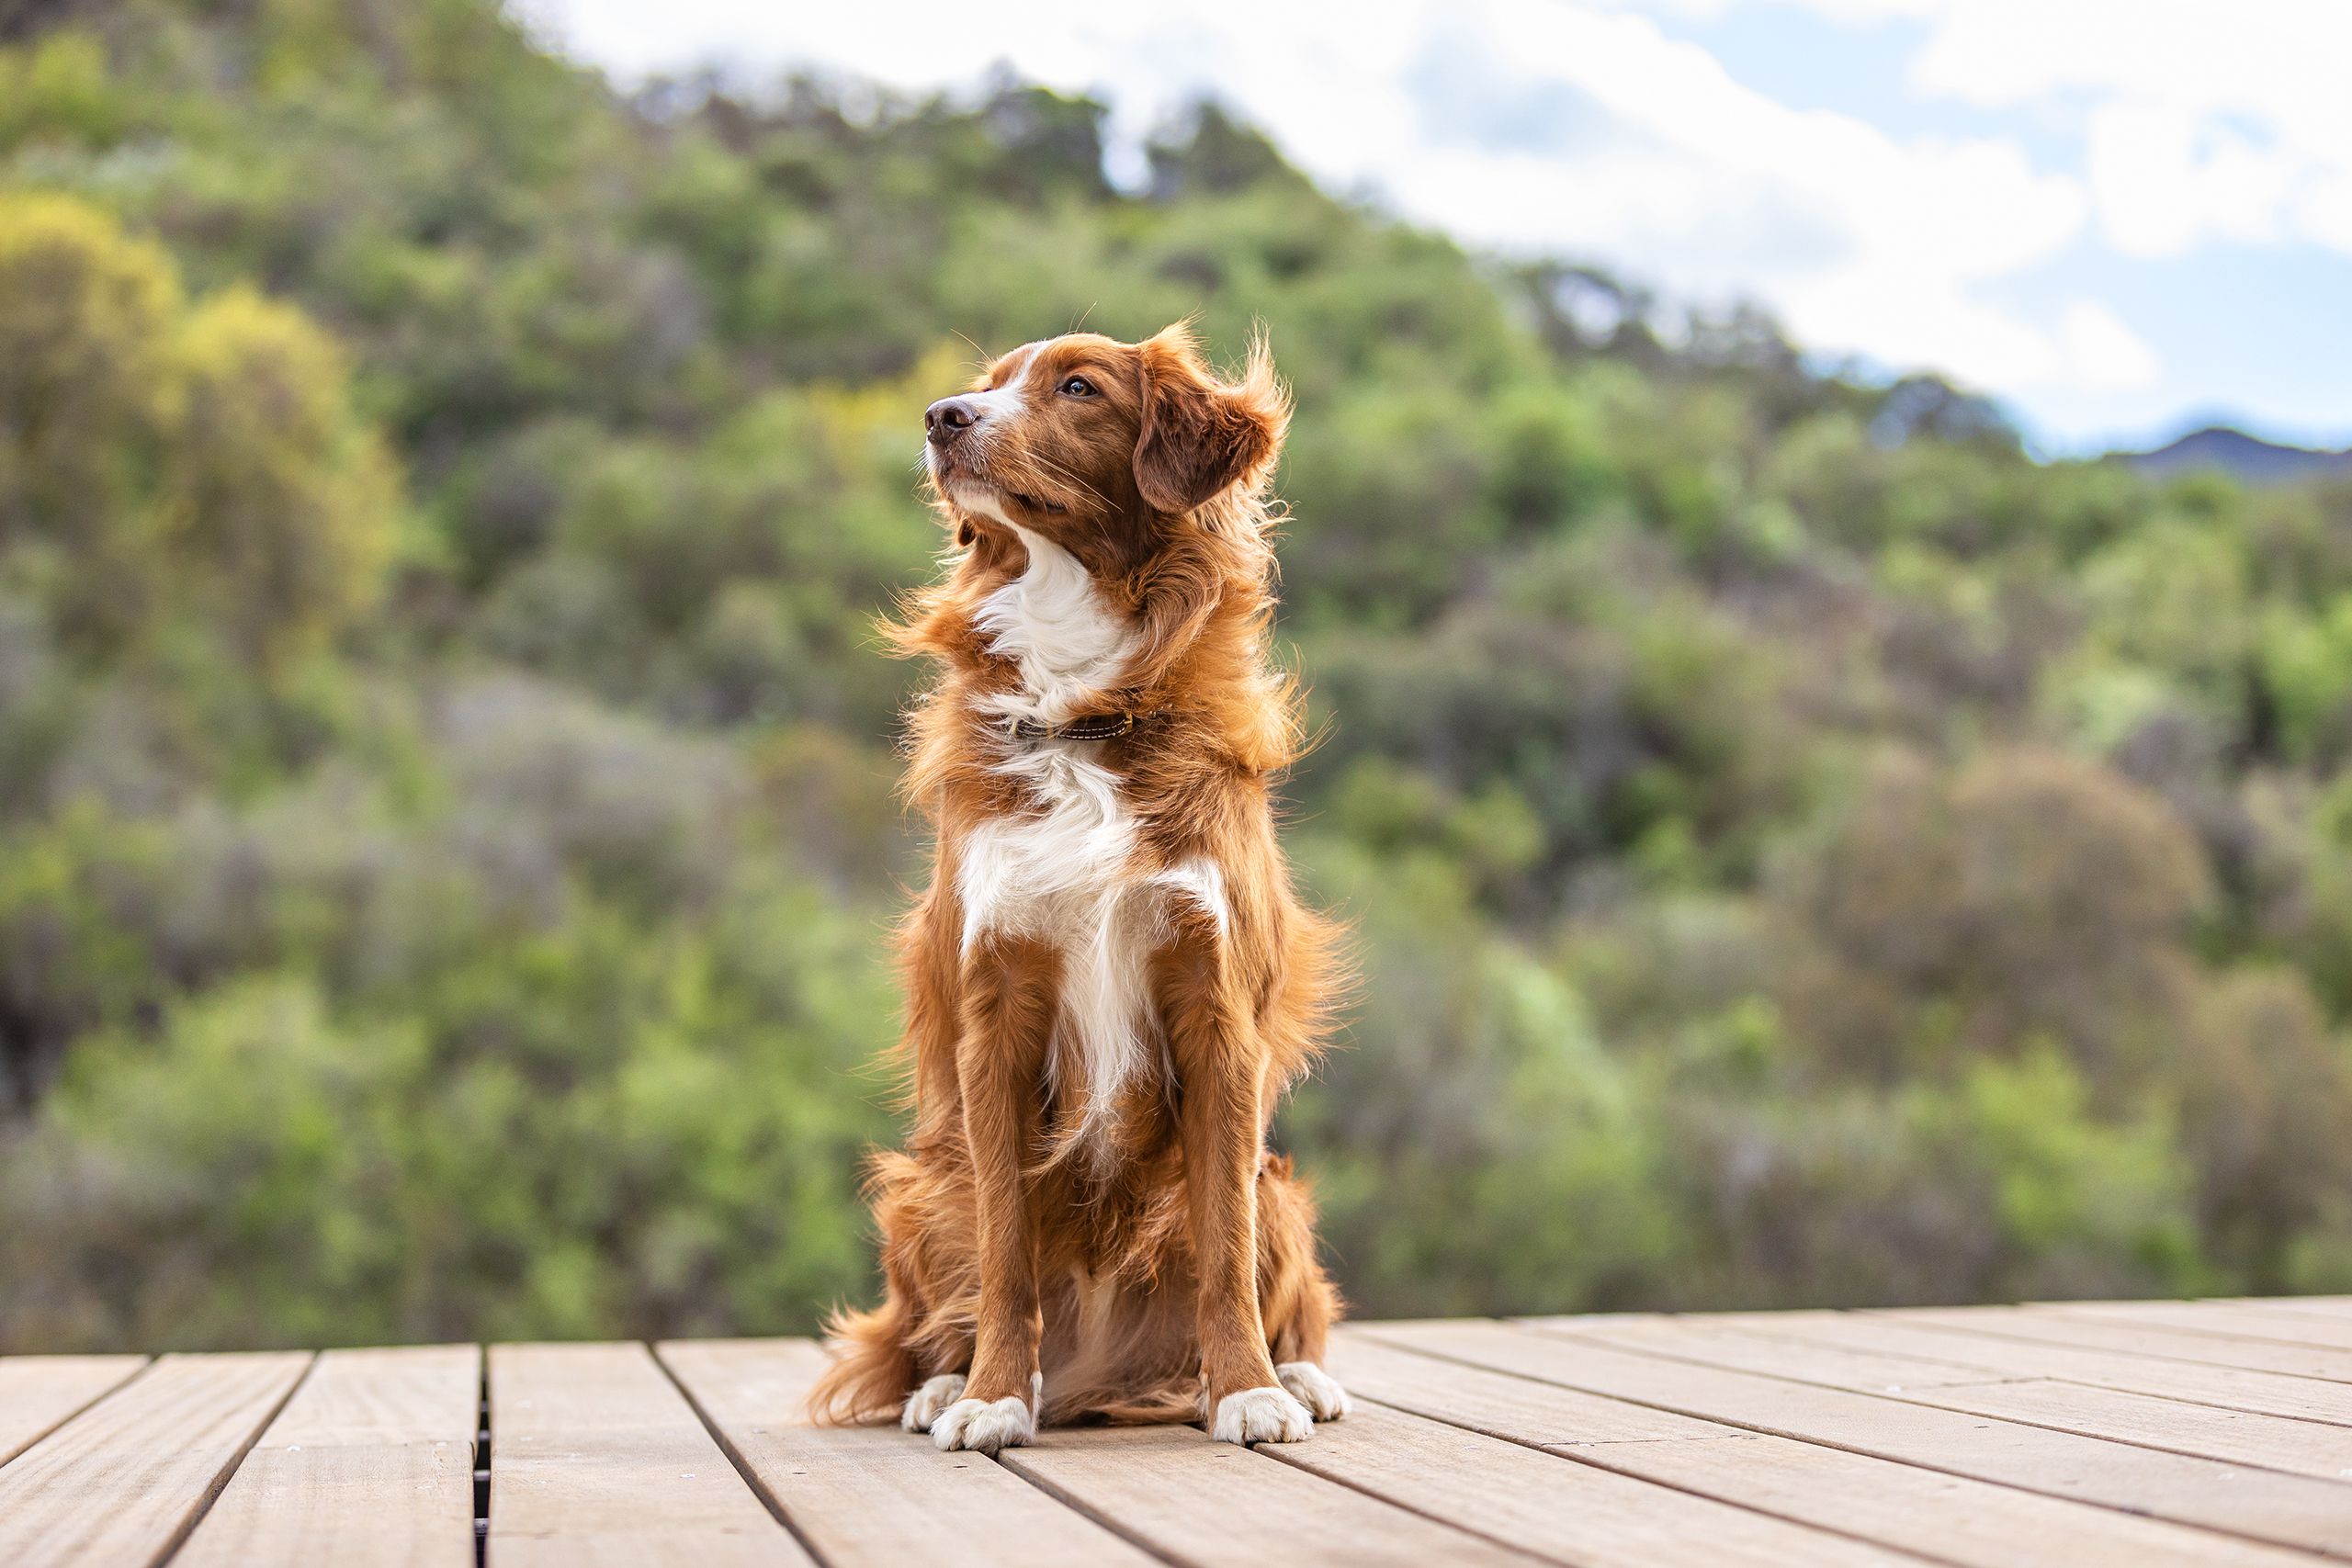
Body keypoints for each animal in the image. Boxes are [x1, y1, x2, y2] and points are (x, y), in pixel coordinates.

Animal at [808, 324, 1354, 1457]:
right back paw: (944, 1383)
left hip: (1281, 1188)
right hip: (924, 1187)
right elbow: (1005, 1255)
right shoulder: (997, 1014)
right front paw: (987, 1397)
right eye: (984, 387)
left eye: (1077, 387)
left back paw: (1297, 1375)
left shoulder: (1215, 1006)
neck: (1083, 708)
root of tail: (1103, 1375)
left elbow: (1224, 1253)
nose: (941, 418)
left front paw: (1248, 1389)